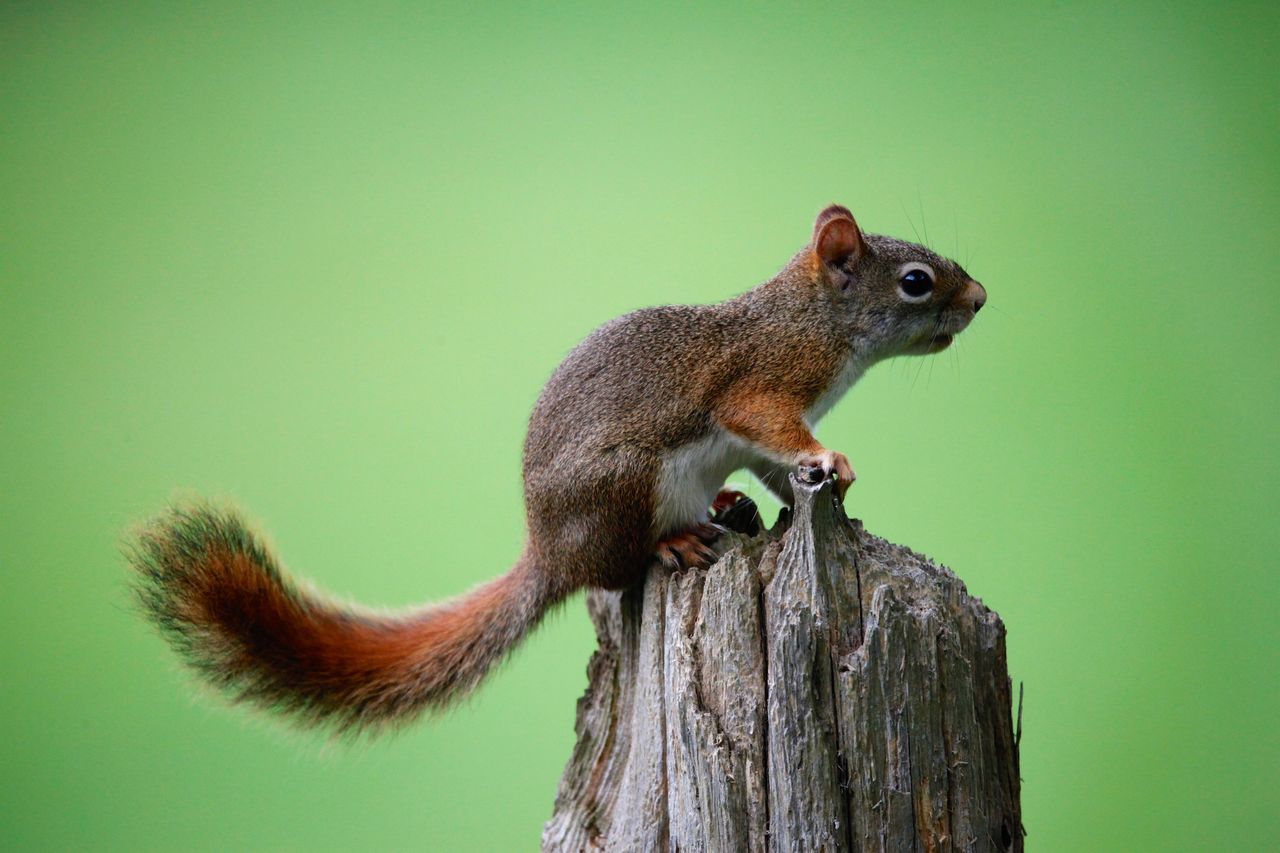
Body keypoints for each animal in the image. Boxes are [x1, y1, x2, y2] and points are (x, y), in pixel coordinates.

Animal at [129, 204, 983, 732]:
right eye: (916, 281)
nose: (979, 296)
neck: (816, 320)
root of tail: (547, 549)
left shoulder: (759, 434)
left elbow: (778, 472)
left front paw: (825, 488)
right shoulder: (759, 386)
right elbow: (777, 430)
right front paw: (827, 458)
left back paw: (728, 509)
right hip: (626, 485)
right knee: (612, 569)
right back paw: (673, 541)